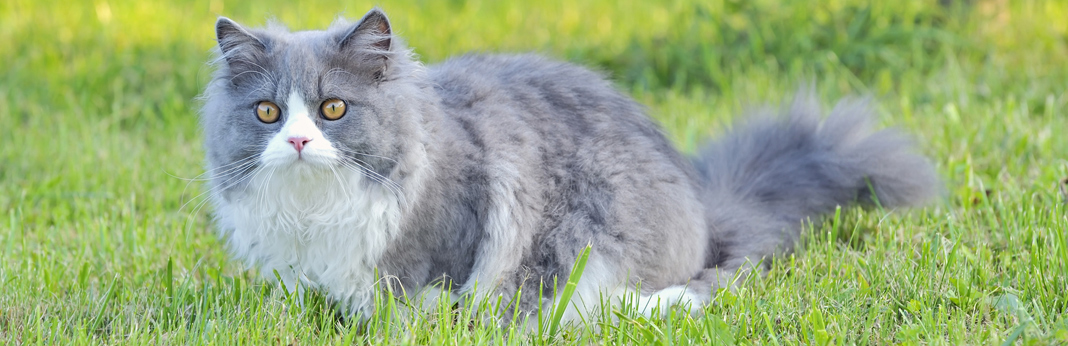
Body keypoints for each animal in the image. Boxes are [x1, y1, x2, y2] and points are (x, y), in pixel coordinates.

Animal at [198, 8, 935, 324]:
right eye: (268, 113)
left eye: (332, 108)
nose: (298, 143)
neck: (316, 207)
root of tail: (707, 209)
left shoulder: (449, 241)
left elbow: (418, 298)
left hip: (596, 234)